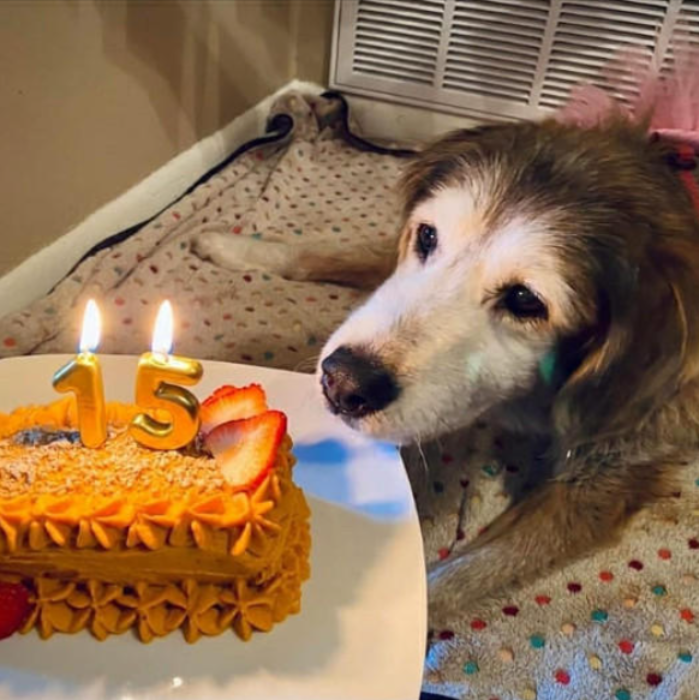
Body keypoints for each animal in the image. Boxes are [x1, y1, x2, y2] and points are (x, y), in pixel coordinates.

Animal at [194, 75, 696, 624]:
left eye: (526, 300)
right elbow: (336, 254)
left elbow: (463, 573)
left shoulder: (603, 478)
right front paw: (238, 247)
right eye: (428, 236)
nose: (341, 383)